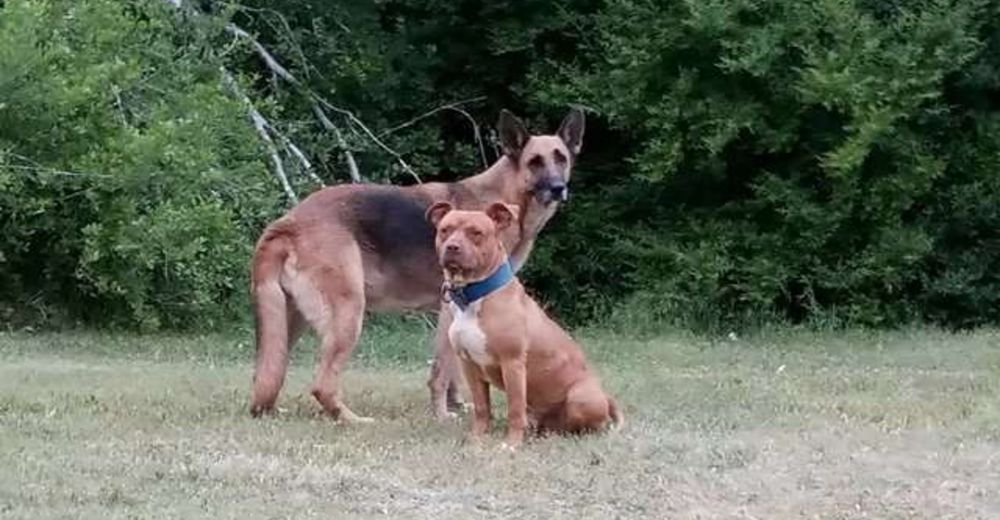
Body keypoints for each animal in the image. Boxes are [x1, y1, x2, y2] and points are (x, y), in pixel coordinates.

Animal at [247, 107, 584, 420]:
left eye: (561, 159)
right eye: (535, 162)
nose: (558, 188)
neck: (507, 197)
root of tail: (288, 223)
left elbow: (453, 372)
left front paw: (456, 406)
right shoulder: (449, 309)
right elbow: (442, 371)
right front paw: (442, 416)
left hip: (288, 322)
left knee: (267, 375)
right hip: (348, 313)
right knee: (322, 385)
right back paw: (352, 419)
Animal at [426, 200, 620, 446]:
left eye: (476, 233)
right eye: (445, 230)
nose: (452, 247)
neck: (474, 296)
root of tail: (605, 396)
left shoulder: (513, 364)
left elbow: (515, 408)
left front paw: (511, 444)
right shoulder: (469, 365)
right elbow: (481, 407)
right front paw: (477, 437)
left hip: (580, 397)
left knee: (589, 425)